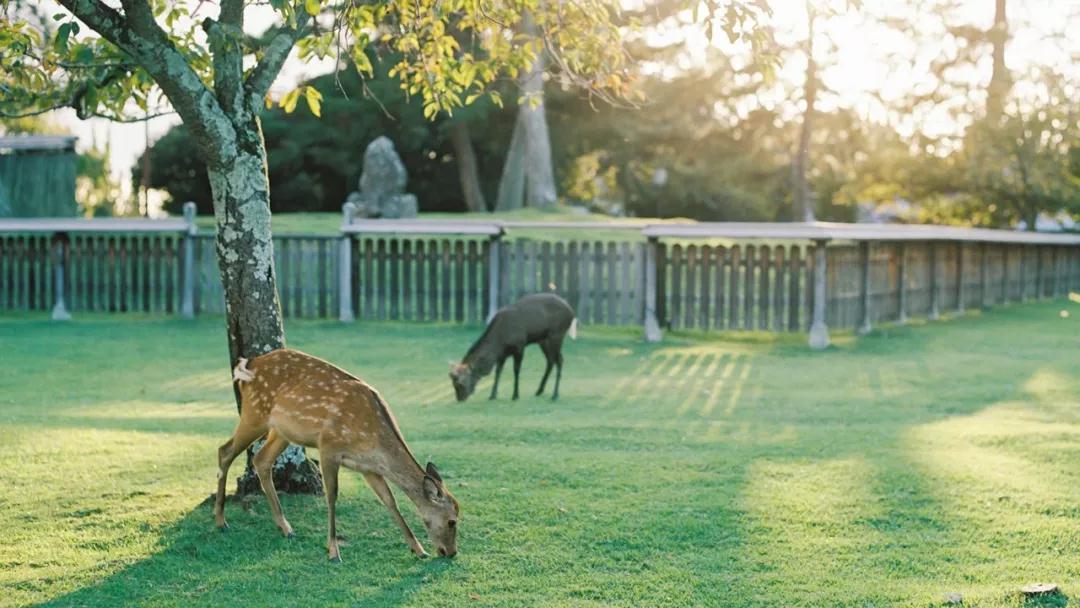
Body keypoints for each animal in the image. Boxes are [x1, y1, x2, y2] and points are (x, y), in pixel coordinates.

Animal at [213, 349, 460, 565]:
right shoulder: (328, 447)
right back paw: (220, 521)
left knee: (261, 460)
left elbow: (389, 500)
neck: (372, 438)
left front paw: (418, 549)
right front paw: (333, 552)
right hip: (255, 413)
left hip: (282, 431)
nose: (451, 552)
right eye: (452, 521)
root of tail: (249, 363)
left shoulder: (368, 467)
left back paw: (285, 528)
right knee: (225, 451)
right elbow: (331, 497)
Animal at [449, 291, 578, 401]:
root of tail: (571, 311)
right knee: (551, 360)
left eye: (461, 383)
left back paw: (555, 395)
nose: (460, 399)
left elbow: (516, 370)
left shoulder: (519, 346)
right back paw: (539, 391)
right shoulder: (502, 354)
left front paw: (515, 395)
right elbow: (498, 372)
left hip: (557, 334)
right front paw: (492, 395)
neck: (500, 341)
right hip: (543, 340)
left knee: (559, 360)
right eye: (452, 384)